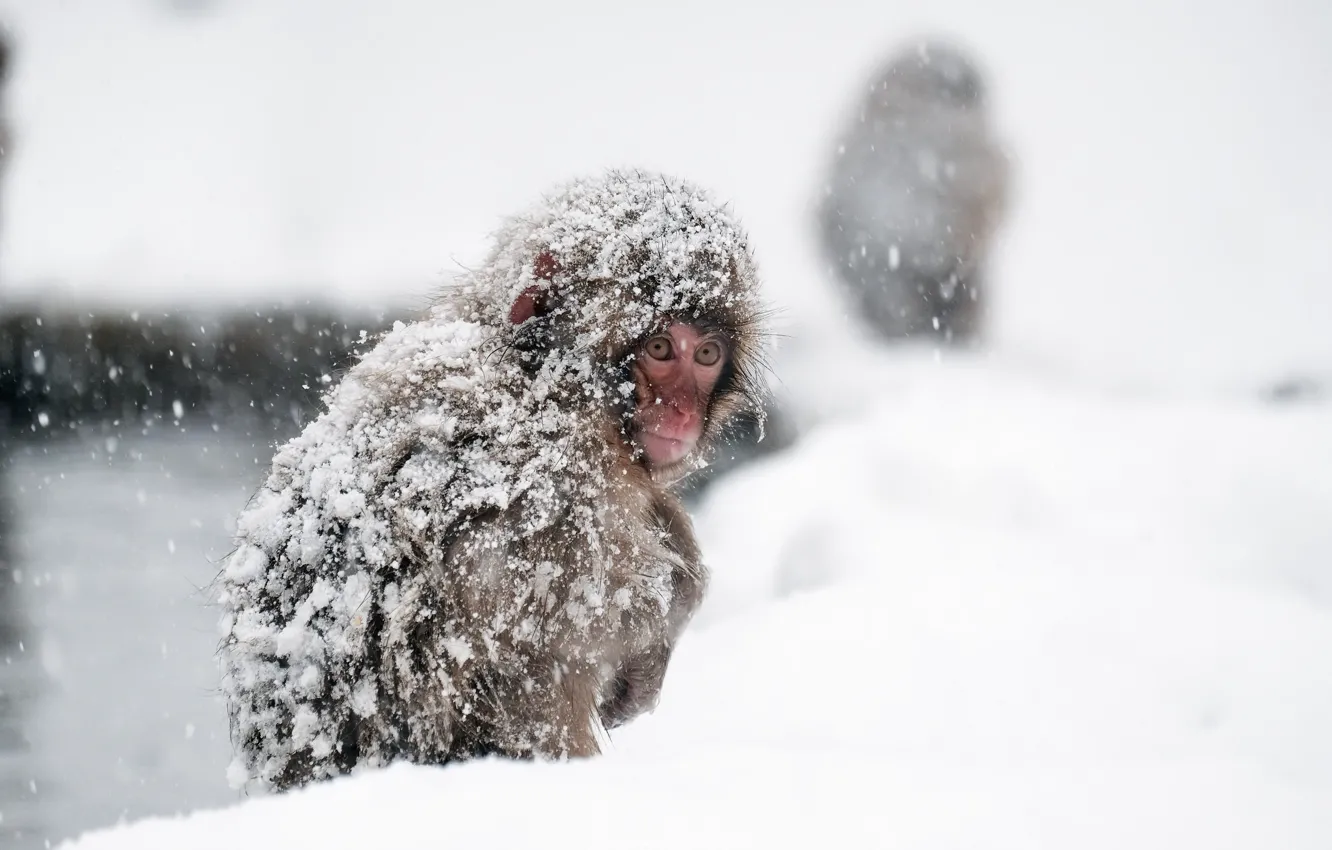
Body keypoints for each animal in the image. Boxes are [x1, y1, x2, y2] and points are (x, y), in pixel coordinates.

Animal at [215, 169, 772, 794]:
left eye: (706, 355)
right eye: (659, 348)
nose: (680, 414)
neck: (540, 375)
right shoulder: (559, 480)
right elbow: (579, 621)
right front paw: (676, 597)